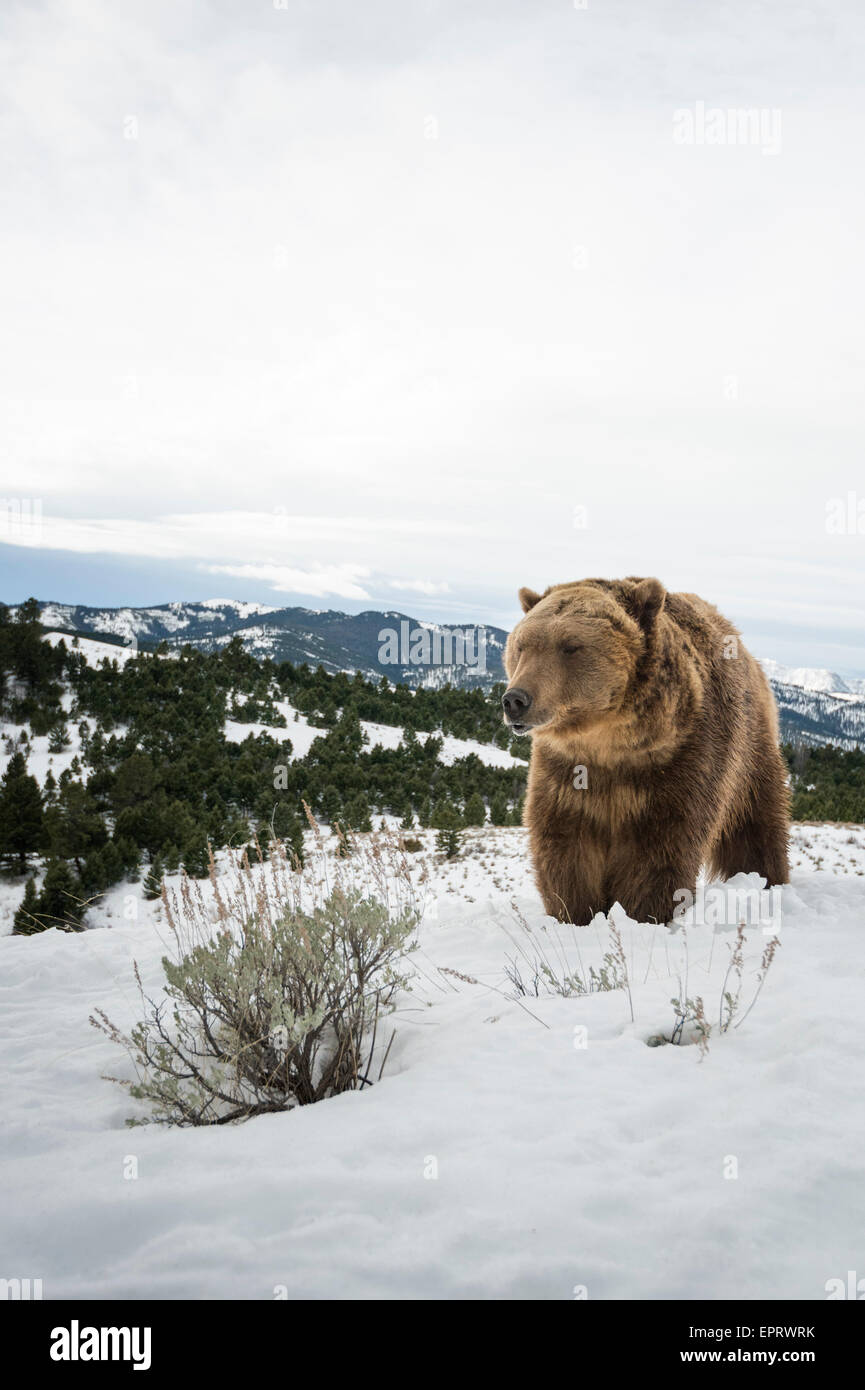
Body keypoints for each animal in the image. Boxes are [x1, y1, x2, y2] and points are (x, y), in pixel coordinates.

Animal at [500, 575, 795, 922]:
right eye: (521, 646)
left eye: (570, 646)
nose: (515, 700)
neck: (609, 744)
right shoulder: (566, 772)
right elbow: (564, 846)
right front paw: (575, 913)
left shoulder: (681, 760)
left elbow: (659, 850)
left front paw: (643, 913)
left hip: (749, 751)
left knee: (756, 826)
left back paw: (767, 883)